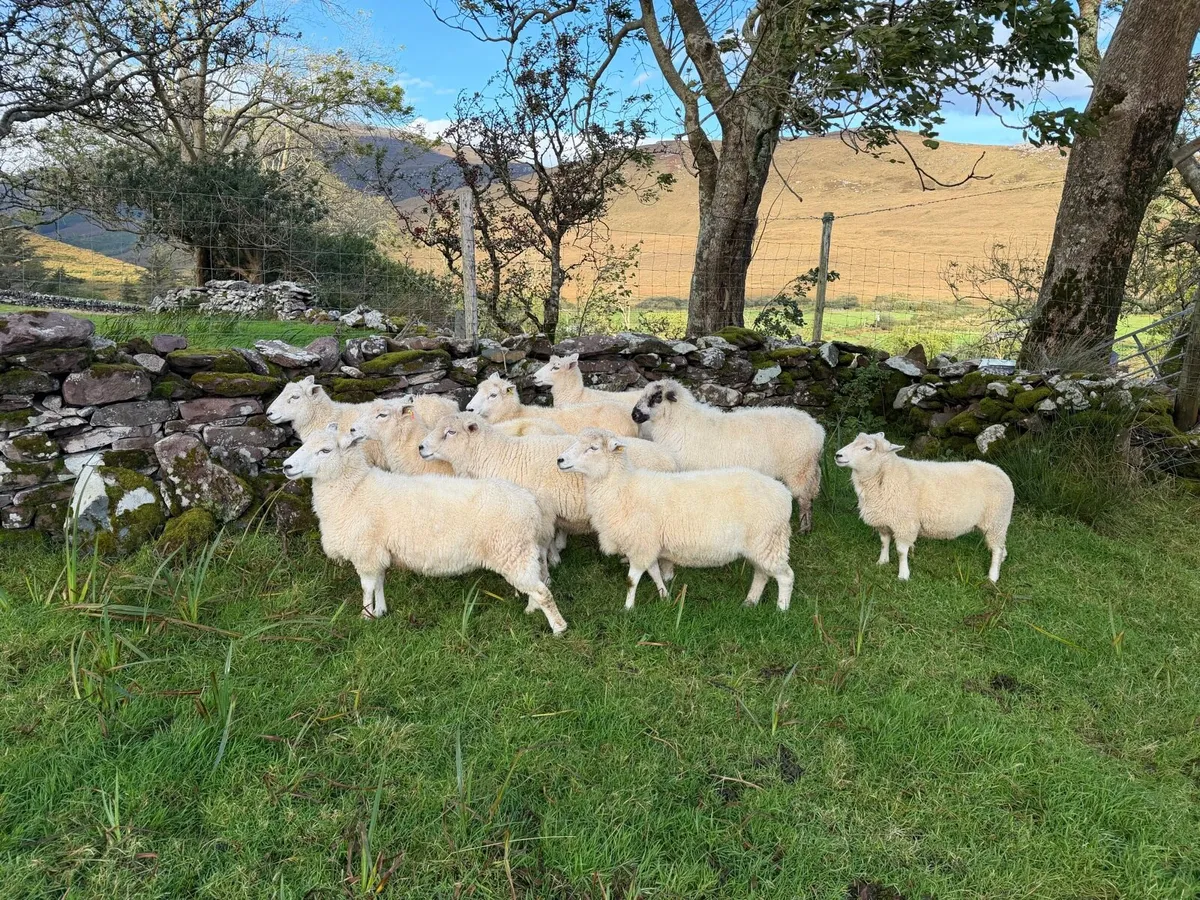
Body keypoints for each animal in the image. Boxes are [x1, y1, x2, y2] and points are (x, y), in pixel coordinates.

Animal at [282, 425, 566, 632]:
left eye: (325, 450)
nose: (286, 466)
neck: (354, 489)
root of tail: (530, 503)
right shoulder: (378, 551)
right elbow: (380, 582)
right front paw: (381, 611)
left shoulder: (366, 551)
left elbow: (367, 587)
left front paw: (366, 616)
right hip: (522, 551)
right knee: (538, 580)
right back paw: (531, 609)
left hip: (510, 550)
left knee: (542, 591)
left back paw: (558, 627)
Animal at [557, 433, 795, 611]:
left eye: (593, 448)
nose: (559, 460)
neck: (621, 487)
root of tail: (783, 493)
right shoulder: (648, 544)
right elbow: (654, 572)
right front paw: (665, 596)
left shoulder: (640, 543)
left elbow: (632, 579)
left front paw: (628, 608)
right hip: (760, 545)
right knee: (762, 574)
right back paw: (750, 601)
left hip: (769, 541)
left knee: (786, 576)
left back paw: (781, 609)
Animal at [630, 379, 825, 532]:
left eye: (657, 397)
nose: (634, 415)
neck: (679, 423)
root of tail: (817, 429)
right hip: (810, 471)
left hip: (799, 469)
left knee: (804, 500)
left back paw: (804, 529)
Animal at [834, 432, 1015, 583]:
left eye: (868, 448)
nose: (837, 455)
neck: (887, 475)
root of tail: (1001, 473)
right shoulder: (884, 520)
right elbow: (884, 542)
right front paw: (882, 561)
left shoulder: (904, 523)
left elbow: (901, 551)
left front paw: (903, 575)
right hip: (997, 524)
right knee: (1001, 546)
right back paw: (1001, 561)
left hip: (996, 520)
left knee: (997, 549)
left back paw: (993, 576)